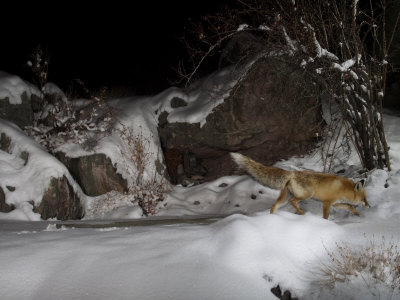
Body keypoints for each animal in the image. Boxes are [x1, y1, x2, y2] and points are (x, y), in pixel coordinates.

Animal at [230, 154, 370, 219]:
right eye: (364, 199)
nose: (369, 206)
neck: (343, 189)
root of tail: (292, 173)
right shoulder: (327, 203)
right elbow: (325, 216)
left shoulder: (336, 203)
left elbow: (350, 207)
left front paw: (358, 216)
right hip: (306, 195)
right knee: (293, 202)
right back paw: (301, 213)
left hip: (284, 198)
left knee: (274, 206)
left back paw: (273, 218)